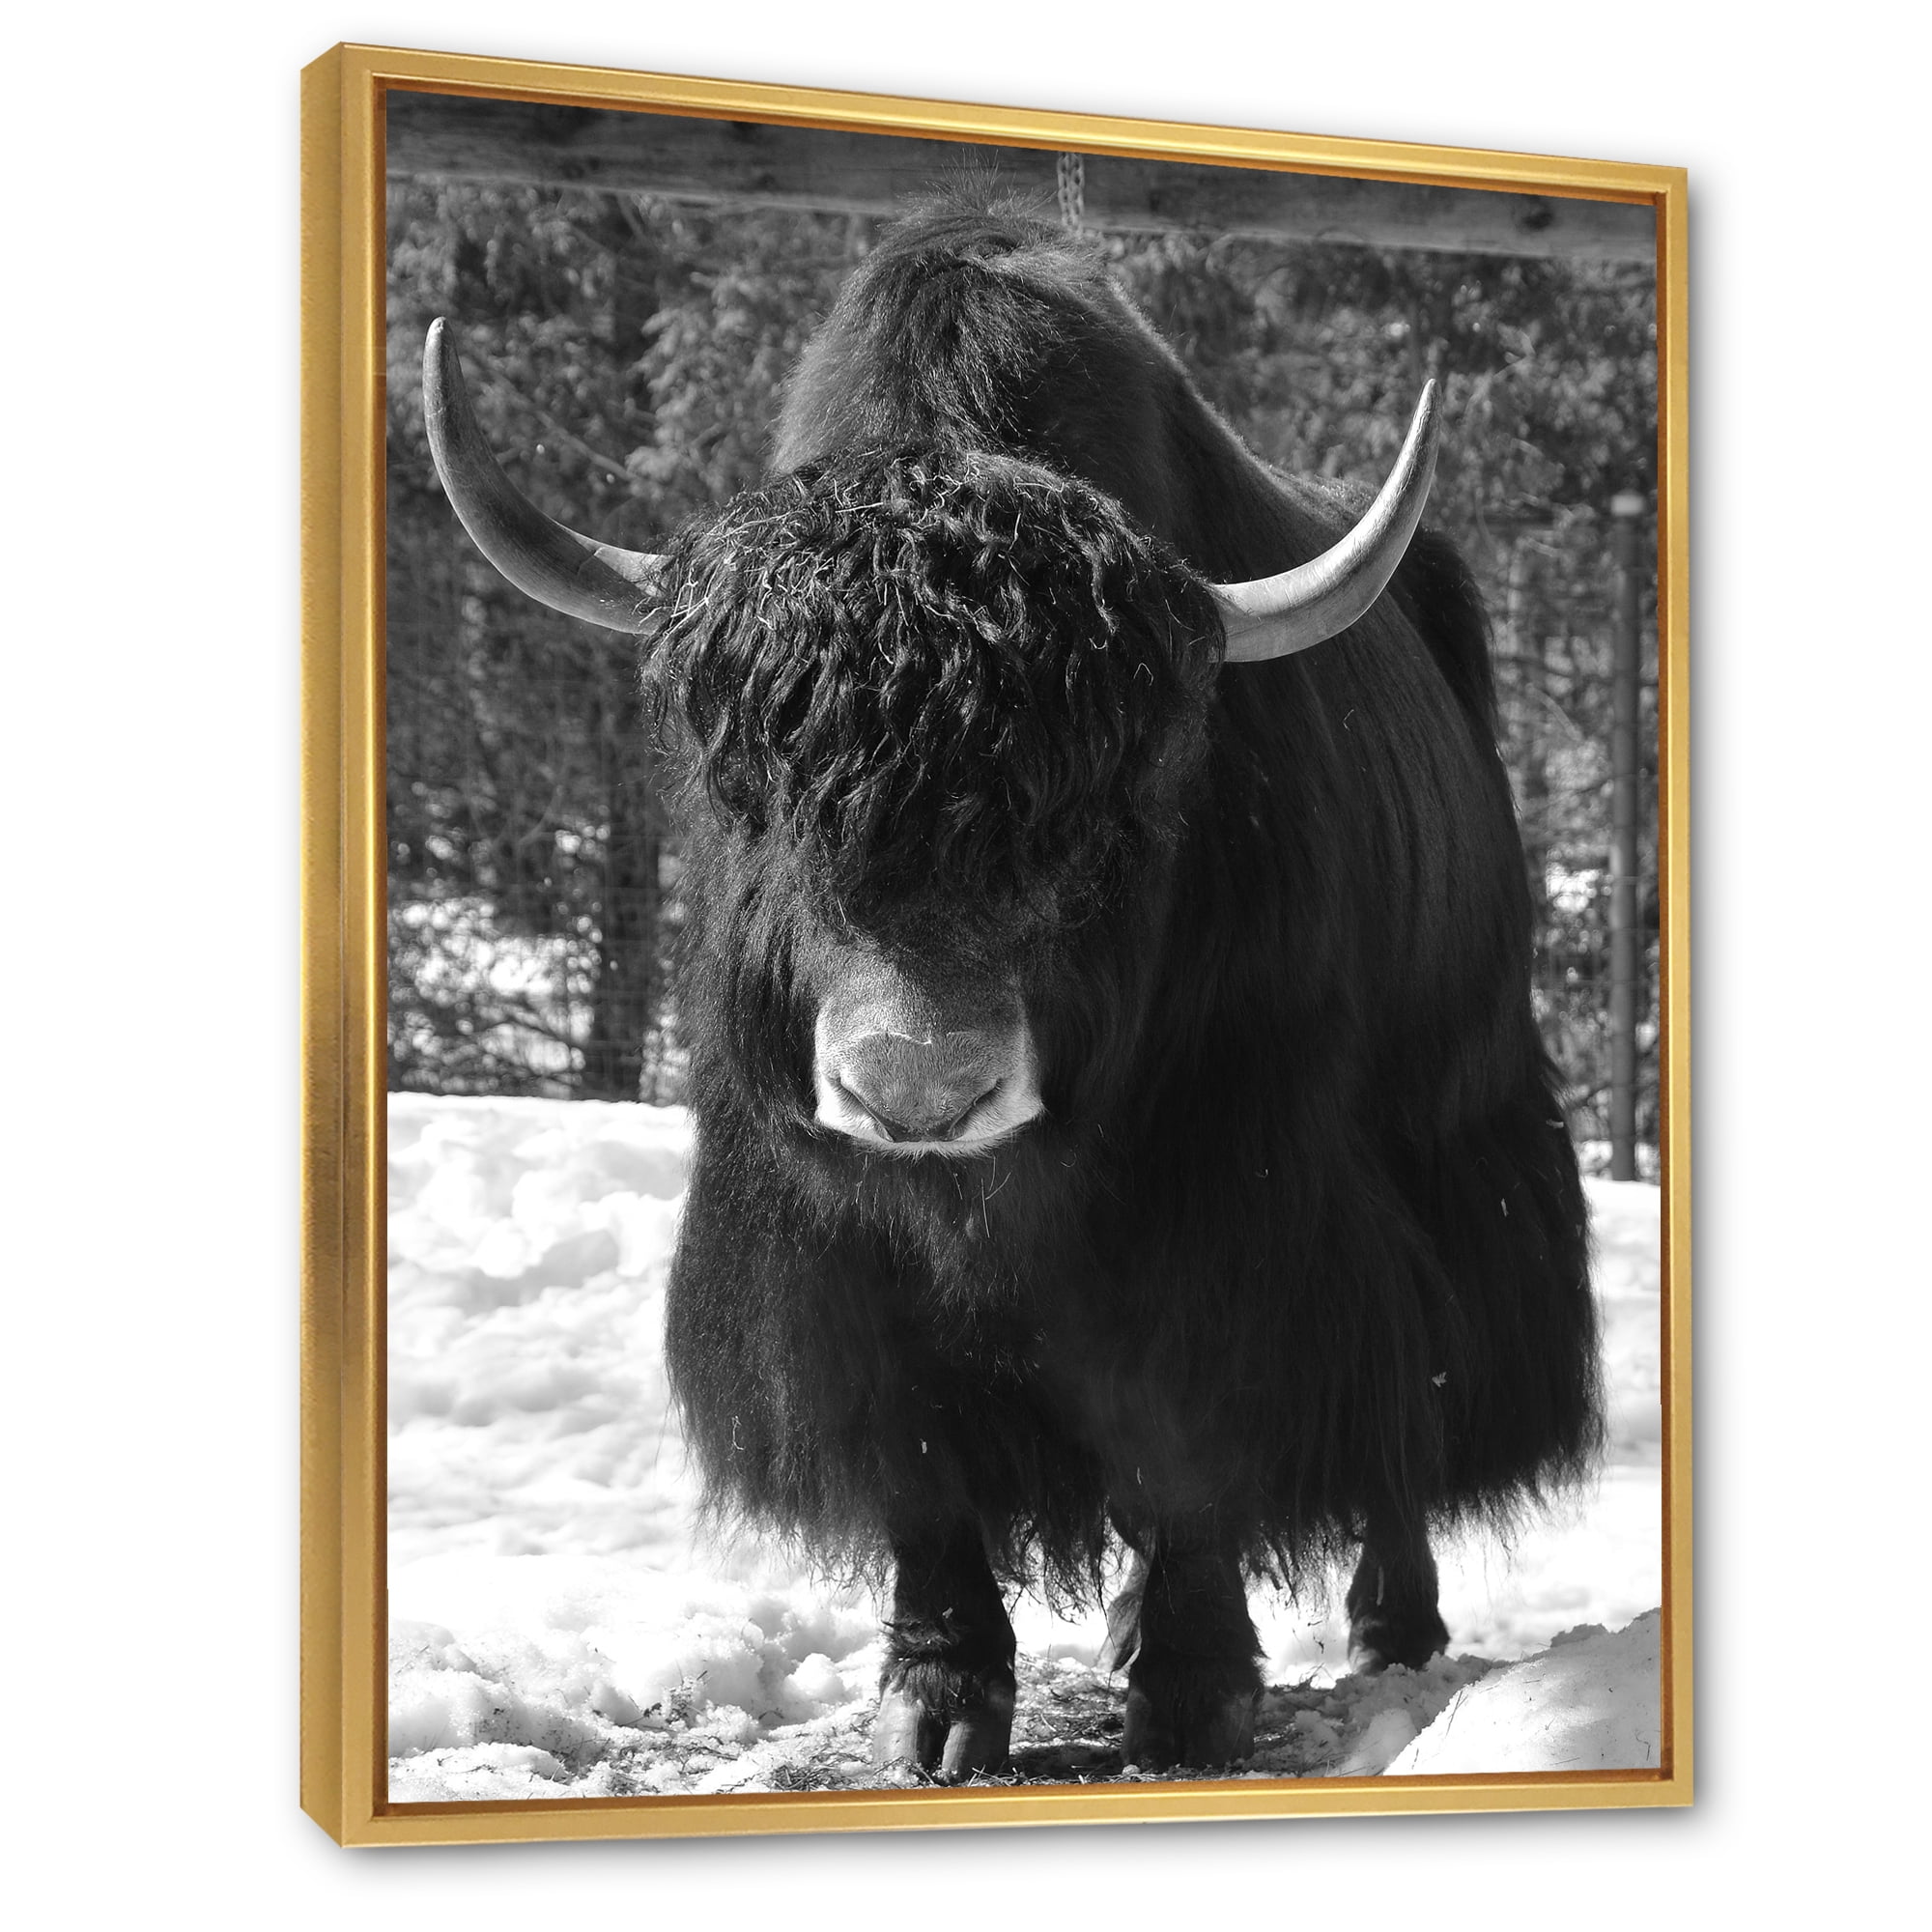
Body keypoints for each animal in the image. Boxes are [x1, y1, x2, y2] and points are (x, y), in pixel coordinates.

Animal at [421, 201, 1601, 1778]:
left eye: (1112, 804)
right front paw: (936, 1701)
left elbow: (1191, 1424)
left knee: (1408, 1400)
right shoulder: (822, 1240)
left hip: (1453, 1145)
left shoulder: (1231, 1206)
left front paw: (1193, 1693)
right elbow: (914, 1448)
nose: (918, 1089)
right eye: (754, 790)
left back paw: (1389, 1627)